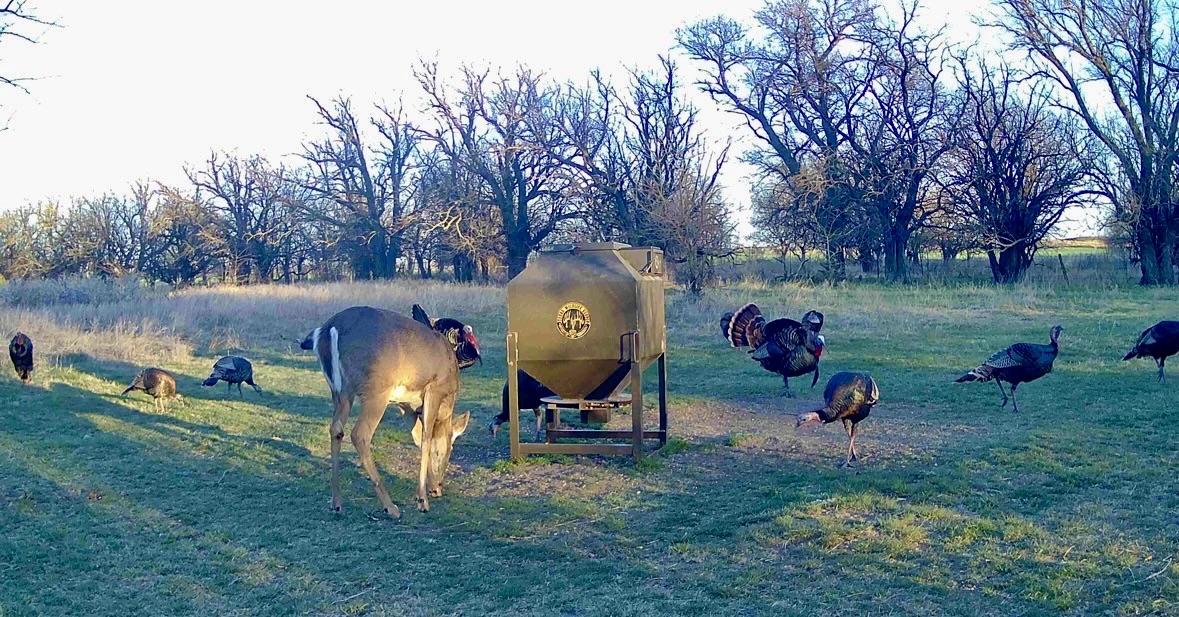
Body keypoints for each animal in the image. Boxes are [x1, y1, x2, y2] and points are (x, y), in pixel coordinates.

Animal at [308, 304, 480, 519]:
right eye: (451, 449)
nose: (439, 485)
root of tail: (331, 329)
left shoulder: (406, 405)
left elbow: (418, 437)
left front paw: (430, 488)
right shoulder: (434, 389)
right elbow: (427, 437)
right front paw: (423, 499)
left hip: (340, 391)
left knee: (336, 429)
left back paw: (337, 502)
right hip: (377, 389)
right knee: (360, 434)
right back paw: (390, 507)